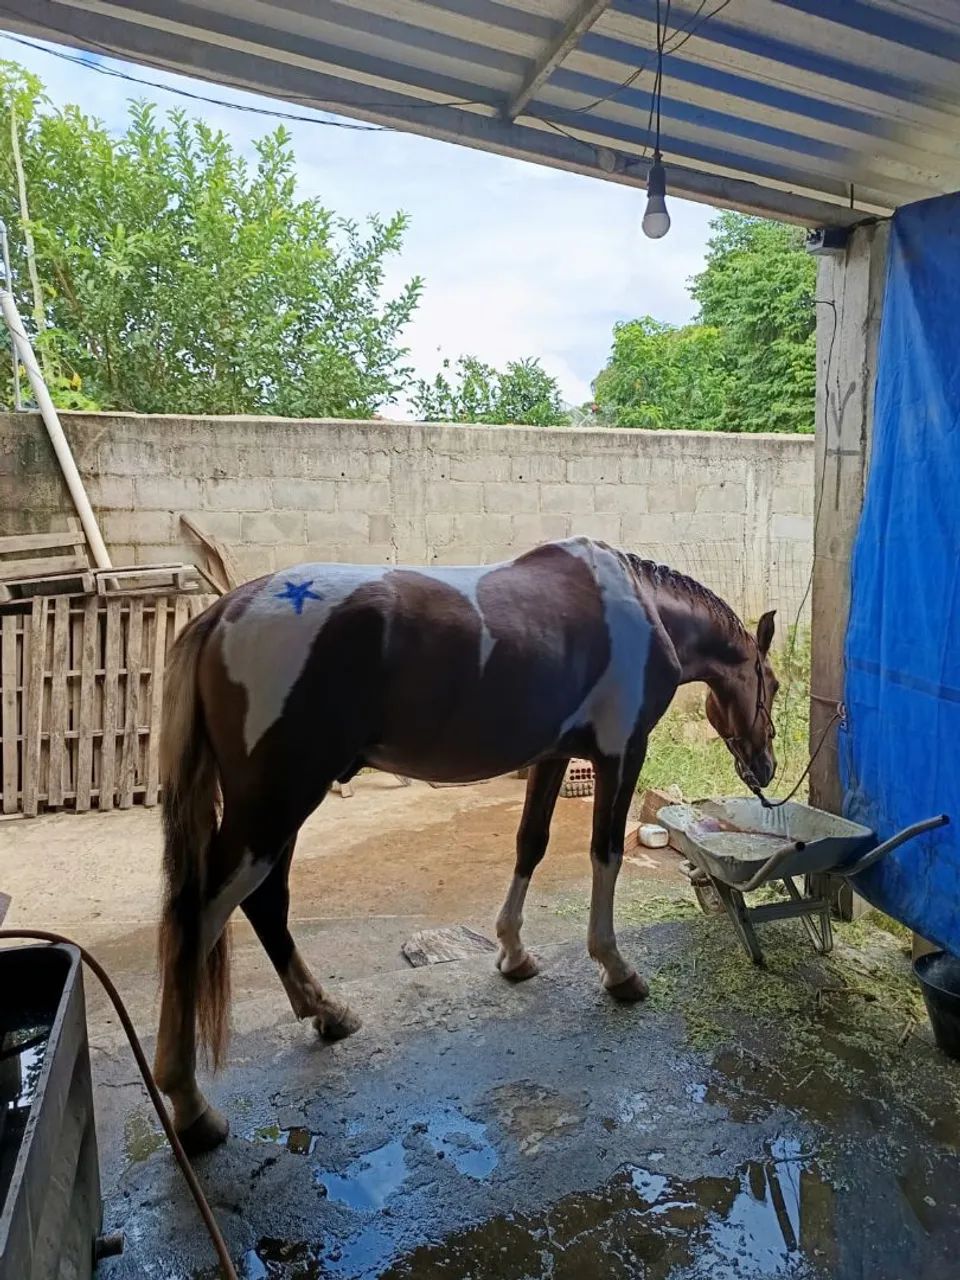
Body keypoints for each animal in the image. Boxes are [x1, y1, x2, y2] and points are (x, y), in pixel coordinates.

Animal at [153, 536, 778, 1154]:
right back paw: (191, 1104)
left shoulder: (552, 755)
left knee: (265, 904)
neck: (642, 607)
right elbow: (606, 853)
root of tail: (220, 614)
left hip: (280, 808)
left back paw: (328, 1014)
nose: (766, 769)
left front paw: (514, 954)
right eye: (769, 686)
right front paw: (616, 969)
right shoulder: (621, 753)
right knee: (202, 915)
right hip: (276, 803)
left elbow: (530, 843)